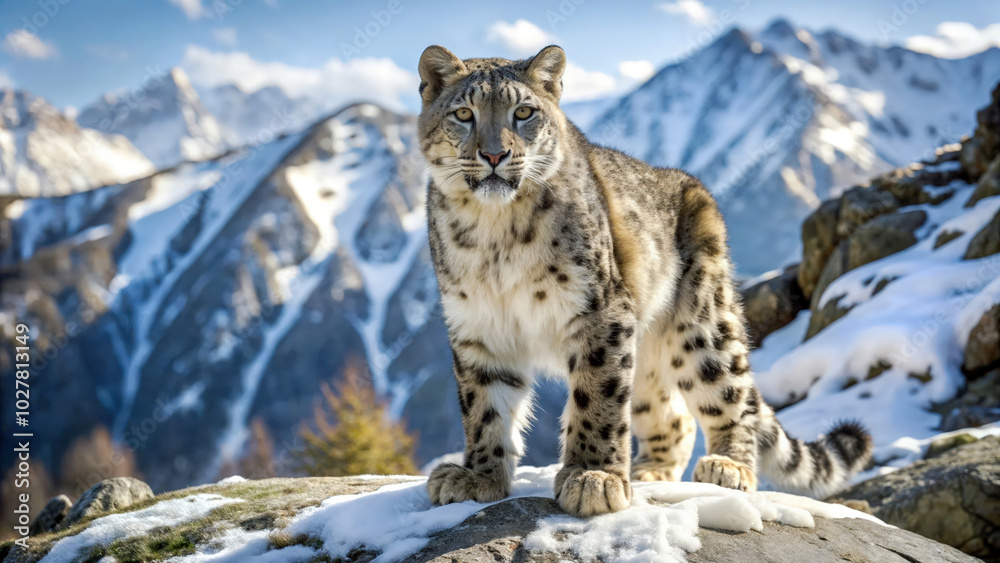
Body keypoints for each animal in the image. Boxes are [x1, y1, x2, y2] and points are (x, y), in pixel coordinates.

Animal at [417, 43, 873, 517]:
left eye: (523, 112)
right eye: (464, 114)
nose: (494, 156)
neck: (494, 234)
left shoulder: (600, 311)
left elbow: (597, 396)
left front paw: (593, 477)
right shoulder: (477, 324)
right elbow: (483, 405)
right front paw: (478, 477)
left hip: (703, 324)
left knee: (731, 396)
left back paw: (729, 467)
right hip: (648, 352)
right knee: (673, 416)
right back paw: (651, 471)